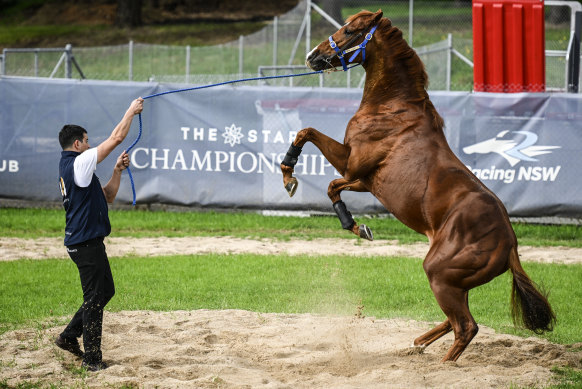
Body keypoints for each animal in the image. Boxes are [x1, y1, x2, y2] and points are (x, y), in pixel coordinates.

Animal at [282, 9, 556, 360]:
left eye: (350, 30)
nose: (313, 56)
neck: (393, 106)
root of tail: (510, 244)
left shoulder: (352, 163)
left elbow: (307, 133)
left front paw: (289, 174)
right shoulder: (363, 180)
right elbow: (332, 186)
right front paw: (358, 227)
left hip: (439, 272)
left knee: (466, 327)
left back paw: (442, 362)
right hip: (456, 283)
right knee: (455, 321)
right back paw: (417, 343)